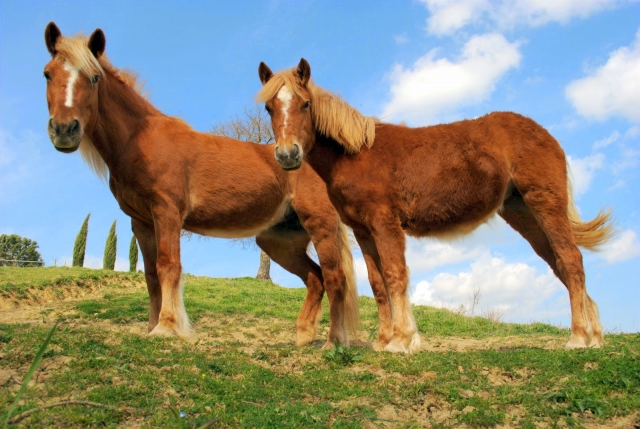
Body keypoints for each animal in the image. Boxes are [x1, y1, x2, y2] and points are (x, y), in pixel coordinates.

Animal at [42, 23, 360, 348]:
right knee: (315, 278)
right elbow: (150, 275)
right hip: (277, 241)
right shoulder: (141, 222)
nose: (64, 130)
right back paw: (303, 336)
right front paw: (152, 327)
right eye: (47, 74)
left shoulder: (167, 211)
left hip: (319, 224)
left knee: (334, 278)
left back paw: (334, 342)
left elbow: (168, 265)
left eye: (94, 77)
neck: (141, 140)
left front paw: (168, 326)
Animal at [256, 58, 615, 353]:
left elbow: (395, 274)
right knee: (560, 264)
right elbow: (377, 283)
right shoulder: (363, 230)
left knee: (570, 259)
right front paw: (384, 341)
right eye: (270, 108)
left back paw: (578, 338)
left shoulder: (385, 222)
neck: (356, 153)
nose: (288, 155)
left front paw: (402, 340)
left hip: (546, 204)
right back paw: (595, 336)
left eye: (305, 104)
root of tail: (545, 134)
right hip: (525, 216)